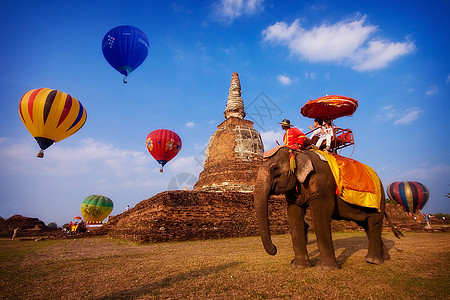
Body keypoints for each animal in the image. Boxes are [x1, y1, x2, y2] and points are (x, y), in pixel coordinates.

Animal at [253, 147, 400, 270]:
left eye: (274, 168)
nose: (275, 248)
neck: (299, 152)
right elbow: (294, 216)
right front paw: (299, 266)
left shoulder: (323, 185)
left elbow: (321, 215)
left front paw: (326, 268)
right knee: (367, 226)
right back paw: (383, 258)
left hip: (379, 200)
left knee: (374, 223)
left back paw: (373, 261)